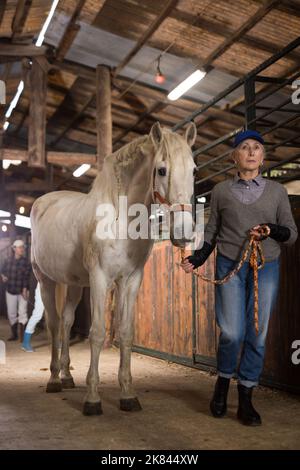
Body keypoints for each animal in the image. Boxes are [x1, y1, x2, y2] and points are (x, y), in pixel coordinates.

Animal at [30, 121, 197, 414]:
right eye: (161, 170)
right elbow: (97, 333)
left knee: (66, 321)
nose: (184, 231)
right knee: (53, 324)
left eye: (194, 170)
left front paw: (128, 394)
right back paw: (54, 379)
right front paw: (93, 399)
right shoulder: (100, 278)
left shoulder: (130, 280)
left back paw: (67, 375)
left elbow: (126, 333)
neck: (120, 218)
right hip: (45, 280)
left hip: (74, 284)